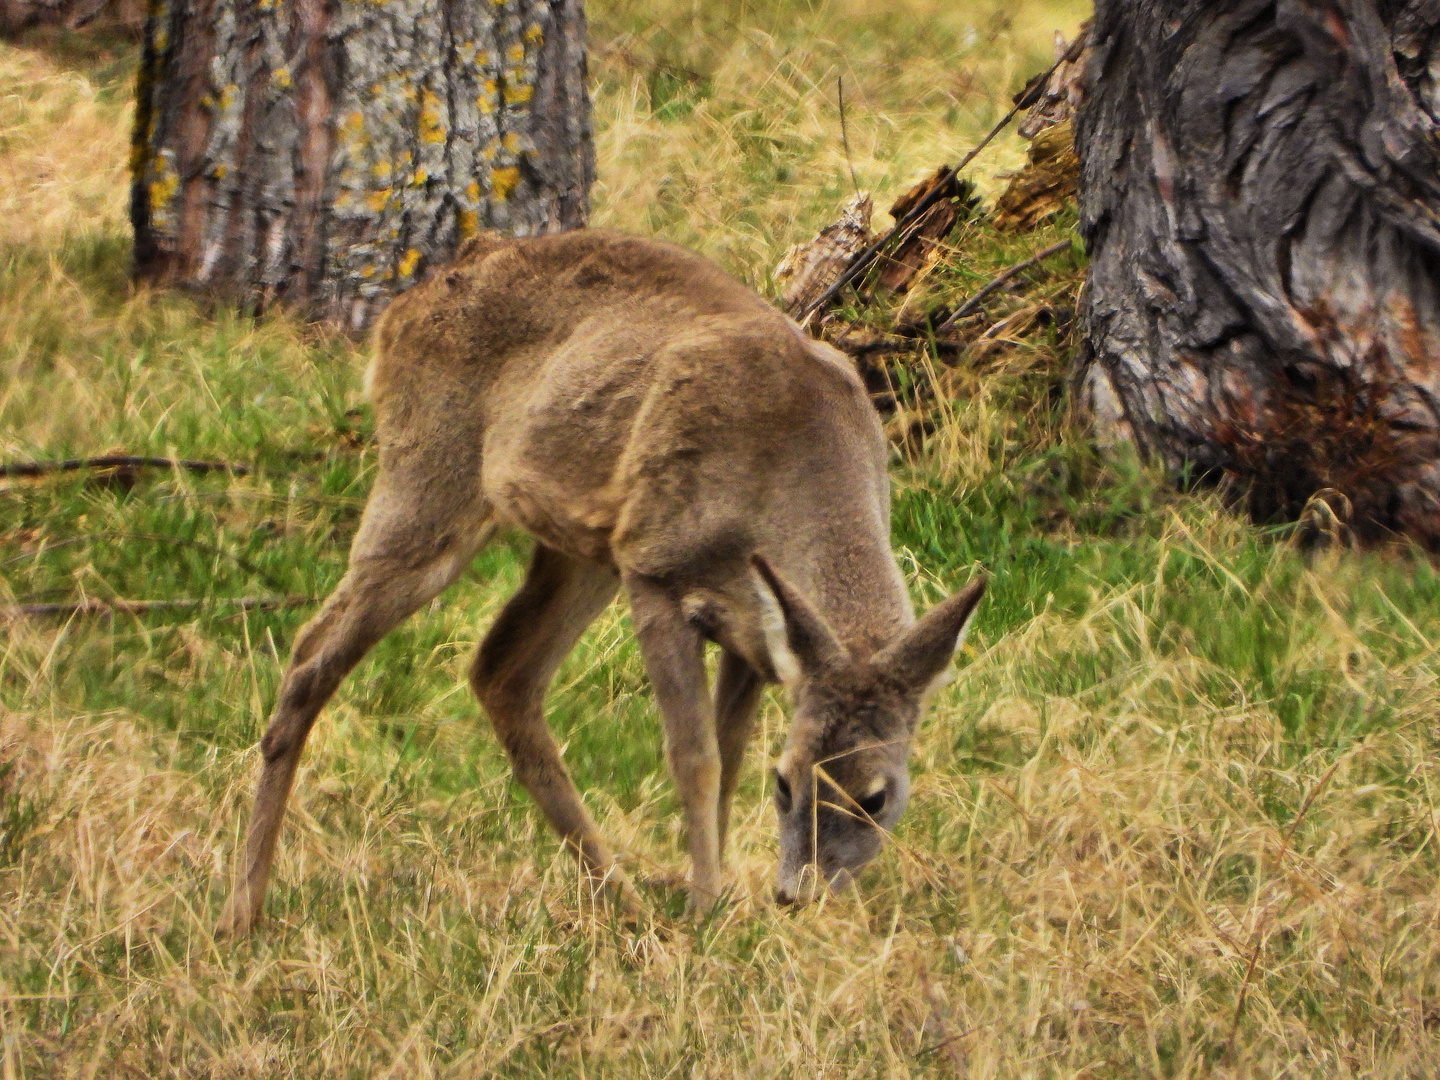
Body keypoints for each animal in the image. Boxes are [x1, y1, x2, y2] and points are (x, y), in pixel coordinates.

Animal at [216, 230, 990, 938]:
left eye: (877, 797)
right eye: (788, 780)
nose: (797, 894)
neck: (791, 468)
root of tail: (399, 311)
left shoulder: (754, 633)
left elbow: (728, 752)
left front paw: (716, 896)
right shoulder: (654, 570)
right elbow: (695, 757)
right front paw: (703, 909)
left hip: (580, 549)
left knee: (502, 672)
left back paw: (618, 895)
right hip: (430, 478)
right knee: (313, 653)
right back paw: (242, 909)